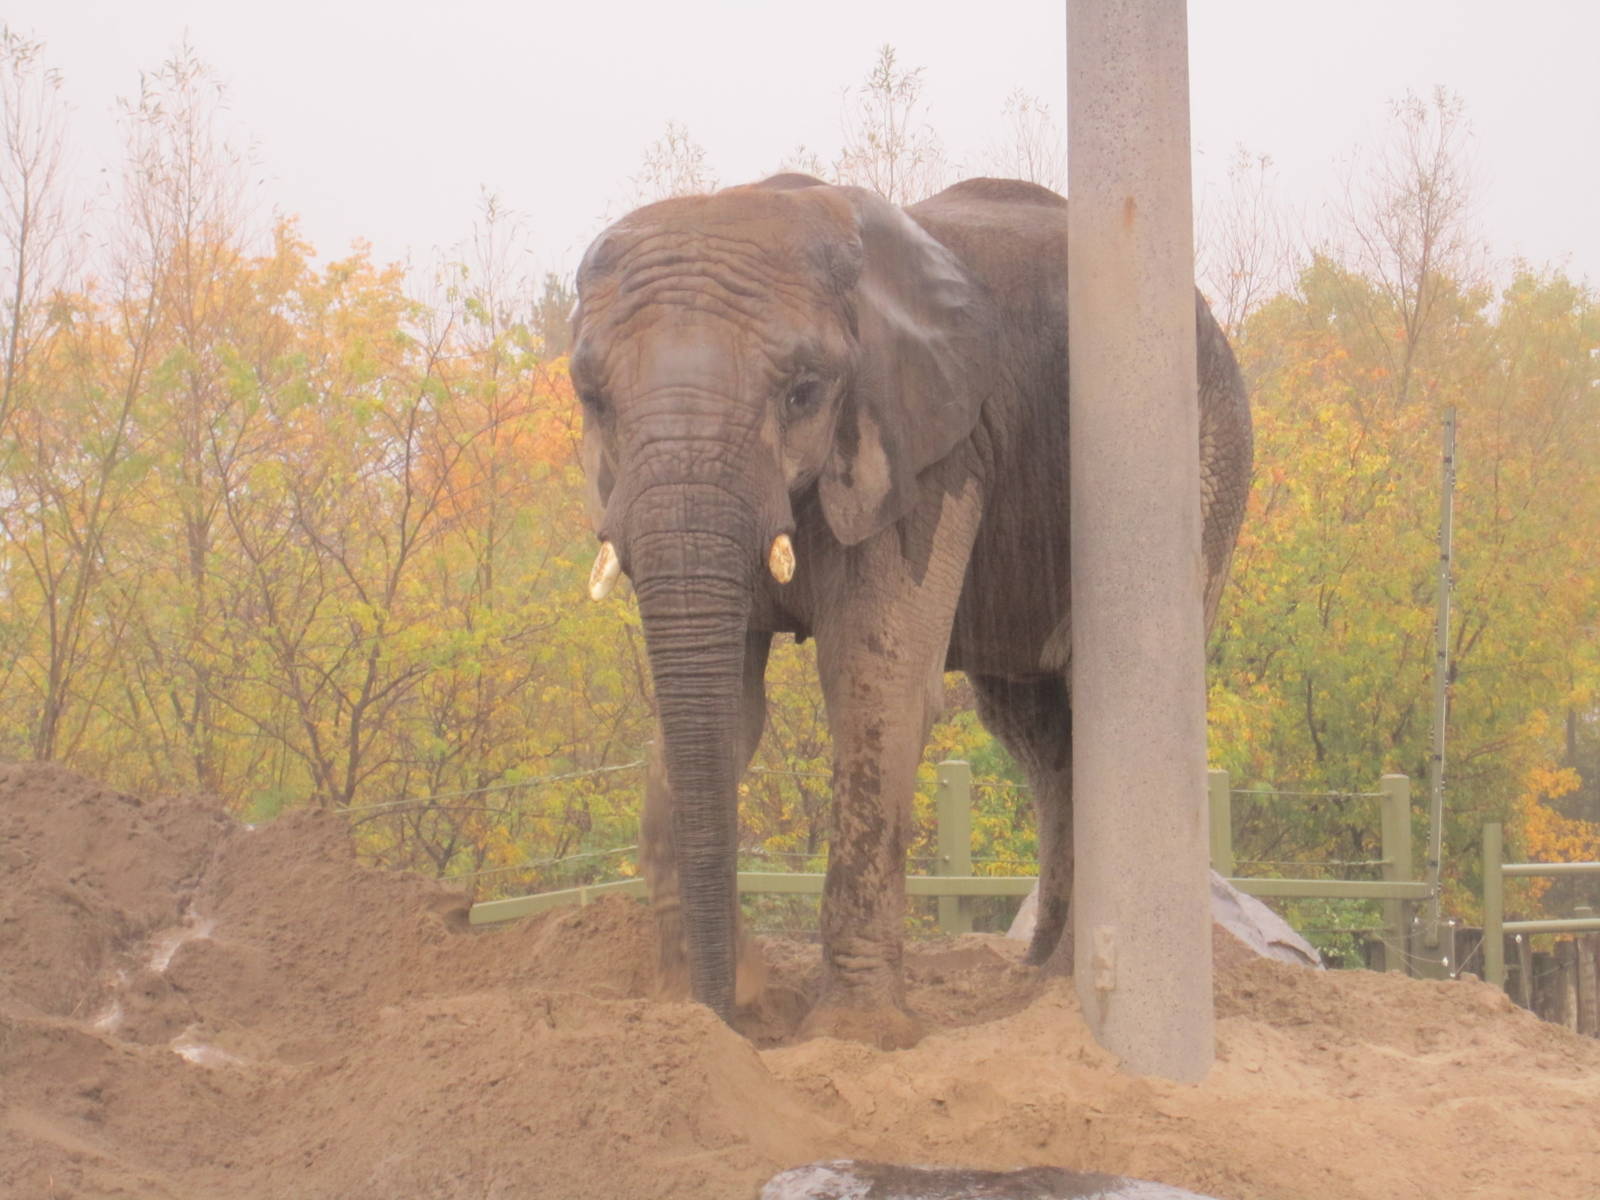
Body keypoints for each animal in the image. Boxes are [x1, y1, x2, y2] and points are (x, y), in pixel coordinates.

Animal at [571, 174, 1251, 1045]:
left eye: (804, 392)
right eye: (592, 399)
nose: (730, 1017)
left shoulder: (933, 454)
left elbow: (874, 682)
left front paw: (850, 1033)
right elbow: (726, 707)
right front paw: (690, 1011)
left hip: (1208, 452)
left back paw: (1059, 992)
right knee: (1037, 734)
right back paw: (1035, 979)